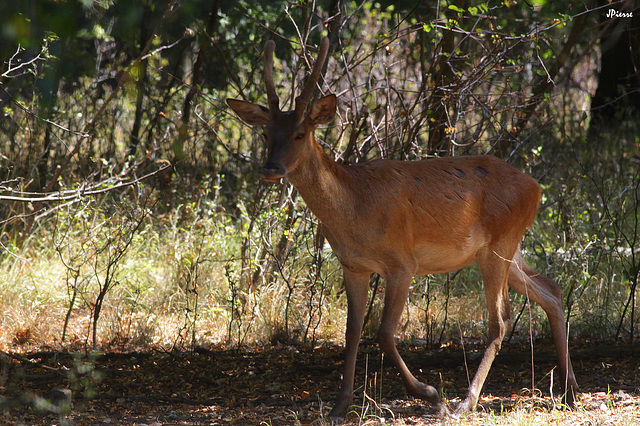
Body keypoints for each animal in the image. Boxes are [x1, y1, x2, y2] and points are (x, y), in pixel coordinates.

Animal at [228, 36, 576, 422]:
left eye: (300, 134)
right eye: (265, 132)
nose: (270, 169)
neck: (355, 209)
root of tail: (536, 187)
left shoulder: (402, 263)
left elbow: (382, 332)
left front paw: (431, 394)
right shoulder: (353, 266)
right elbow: (352, 331)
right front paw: (340, 405)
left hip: (500, 243)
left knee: (500, 320)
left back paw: (465, 401)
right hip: (507, 248)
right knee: (551, 291)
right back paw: (570, 391)